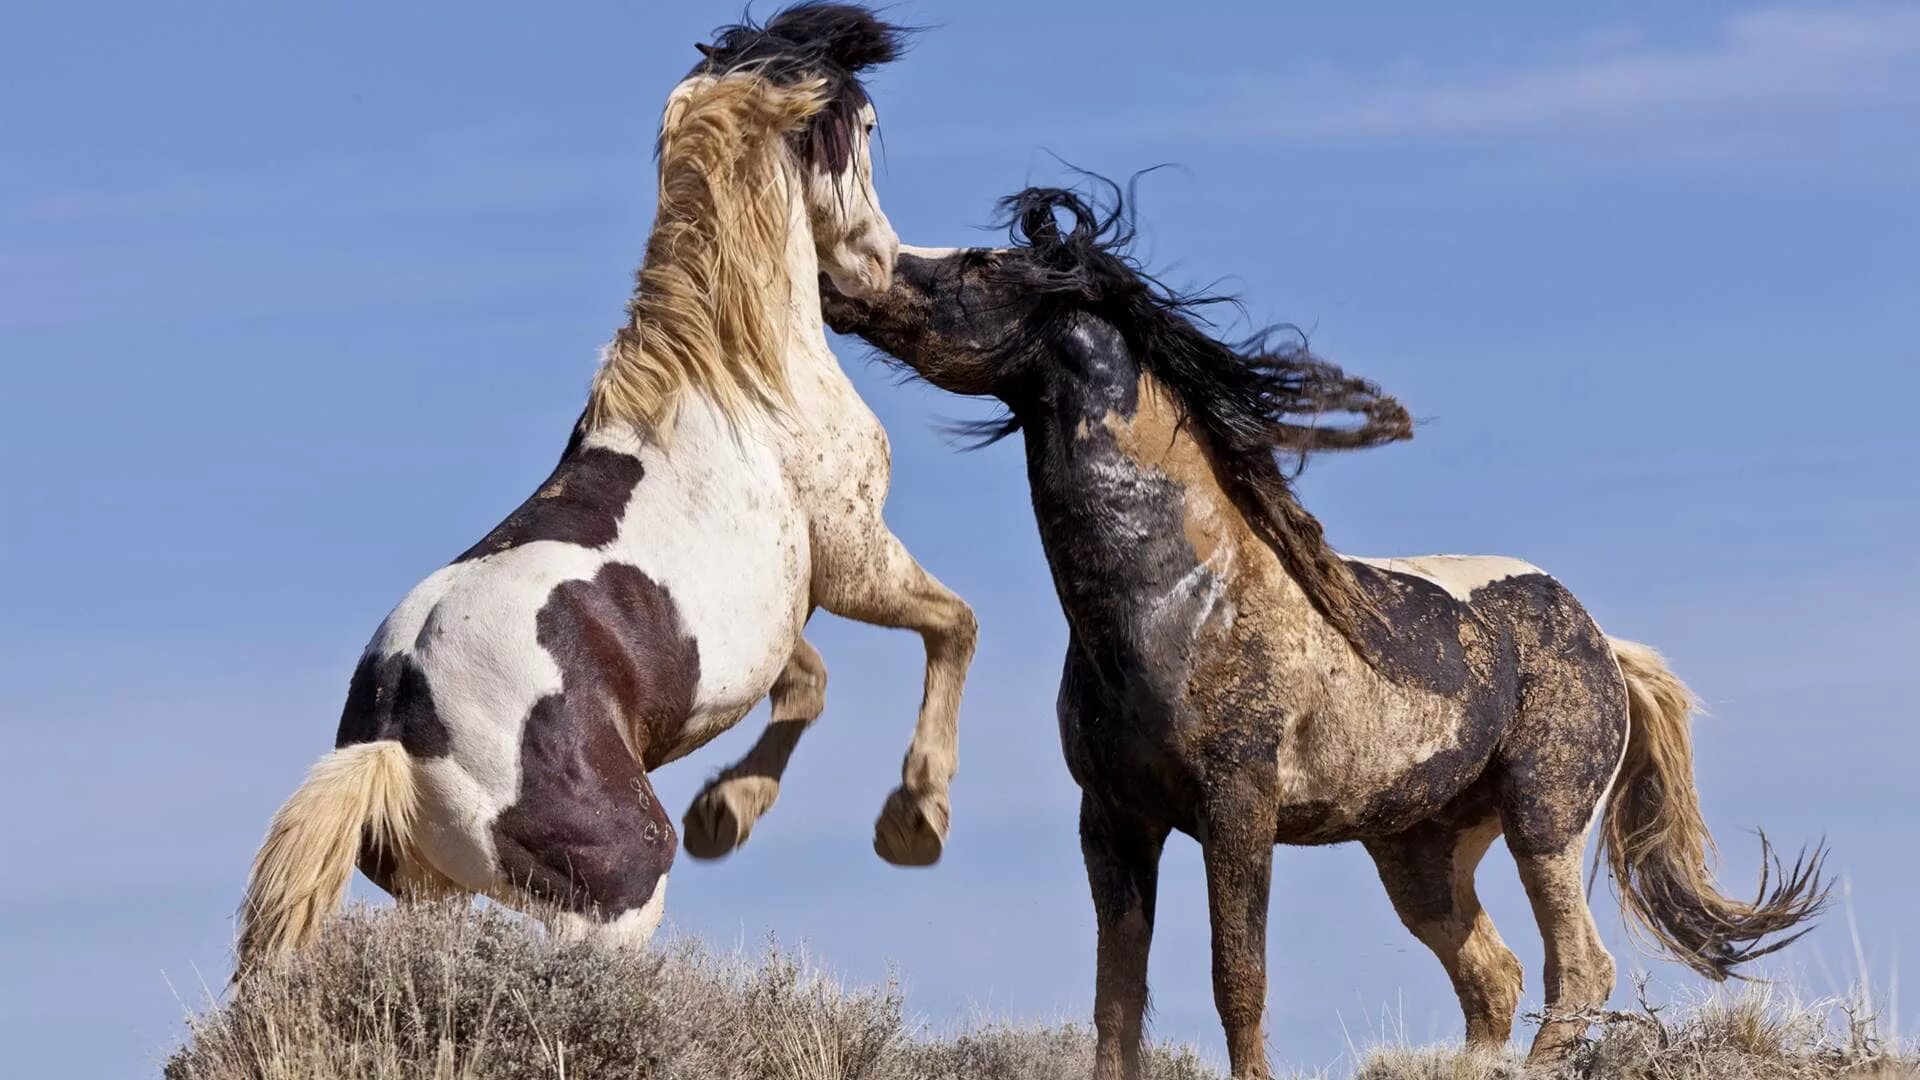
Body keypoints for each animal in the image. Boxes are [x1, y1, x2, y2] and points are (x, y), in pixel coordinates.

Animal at [236, 2, 975, 968]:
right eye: (866, 128)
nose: (879, 263)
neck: (738, 381)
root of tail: (397, 729)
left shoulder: (776, 620)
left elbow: (808, 683)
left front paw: (725, 810)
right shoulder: (854, 560)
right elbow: (952, 625)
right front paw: (916, 815)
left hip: (441, 898)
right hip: (615, 902)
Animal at [821, 184, 1812, 1076]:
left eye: (983, 266)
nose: (837, 275)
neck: (1181, 600)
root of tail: (1604, 642)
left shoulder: (1237, 809)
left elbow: (1237, 979)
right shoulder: (1112, 818)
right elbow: (1117, 1000)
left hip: (1545, 820)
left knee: (1579, 971)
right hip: (1419, 851)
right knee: (1492, 977)